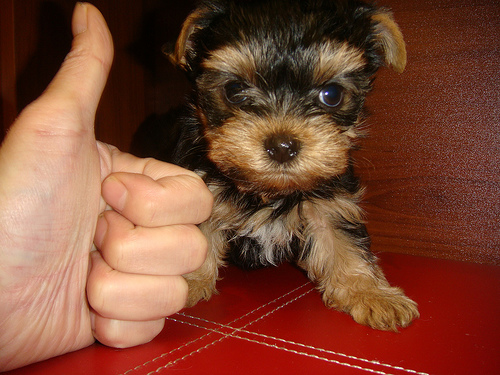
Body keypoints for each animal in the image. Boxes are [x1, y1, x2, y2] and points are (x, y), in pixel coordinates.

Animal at [147, 0, 418, 330]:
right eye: (235, 90)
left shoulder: (331, 200)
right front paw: (186, 283)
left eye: (332, 95)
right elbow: (196, 237)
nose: (282, 146)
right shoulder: (201, 188)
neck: (268, 190)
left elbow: (343, 241)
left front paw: (370, 293)